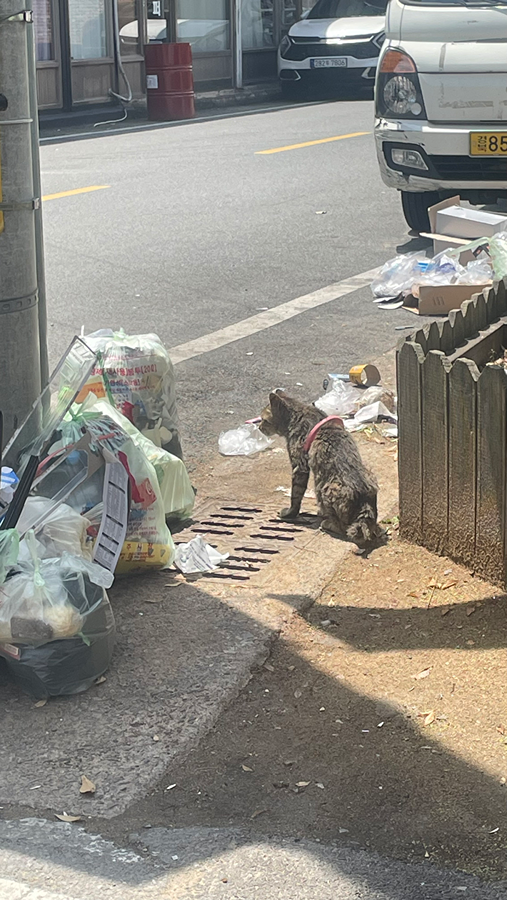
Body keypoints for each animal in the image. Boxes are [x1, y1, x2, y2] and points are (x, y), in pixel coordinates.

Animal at [262, 388, 380, 548]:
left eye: (263, 420)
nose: (259, 427)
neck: (297, 414)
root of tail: (364, 495)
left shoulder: (299, 467)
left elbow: (296, 494)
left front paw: (290, 513)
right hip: (370, 474)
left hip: (324, 488)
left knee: (343, 527)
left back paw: (328, 523)